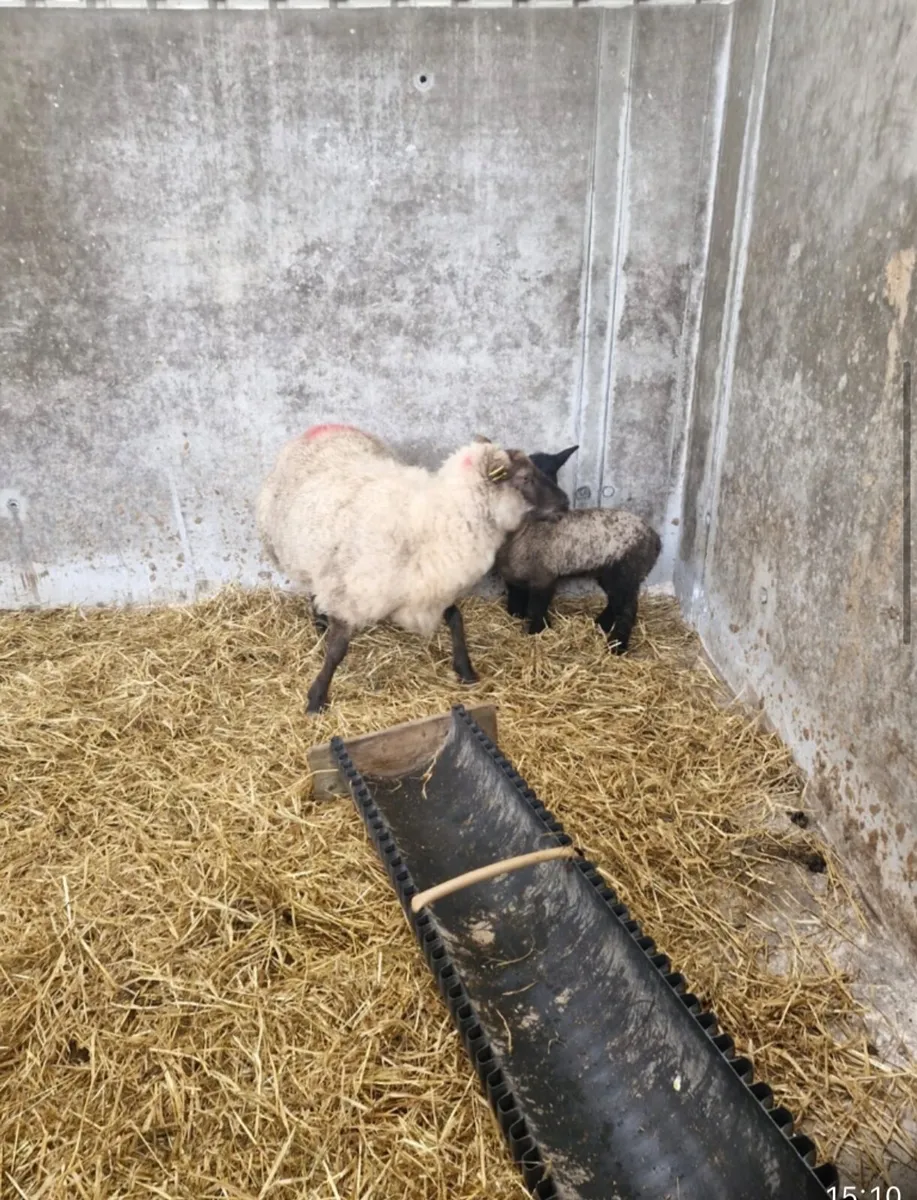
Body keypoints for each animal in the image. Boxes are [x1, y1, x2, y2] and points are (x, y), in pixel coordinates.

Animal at [256, 424, 569, 712]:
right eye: (526, 477)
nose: (565, 502)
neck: (439, 518)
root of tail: (324, 427)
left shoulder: (432, 584)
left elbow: (456, 619)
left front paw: (465, 670)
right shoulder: (353, 596)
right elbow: (336, 651)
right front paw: (316, 698)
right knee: (313, 587)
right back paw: (320, 620)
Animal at [494, 444, 661, 653]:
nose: (563, 503)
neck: (523, 533)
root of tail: (655, 539)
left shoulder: (545, 577)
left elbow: (537, 608)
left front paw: (537, 631)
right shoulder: (513, 577)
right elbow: (515, 602)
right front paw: (517, 619)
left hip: (627, 570)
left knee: (628, 607)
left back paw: (617, 645)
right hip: (609, 572)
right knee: (616, 601)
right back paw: (602, 625)